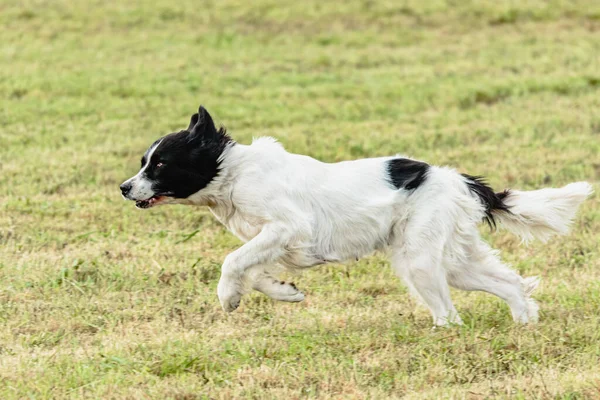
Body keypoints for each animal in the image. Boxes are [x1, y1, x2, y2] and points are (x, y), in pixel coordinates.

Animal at [119, 105, 592, 324]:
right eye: (144, 161)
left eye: (160, 165)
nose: (124, 188)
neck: (232, 171)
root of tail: (458, 179)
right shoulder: (272, 240)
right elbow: (253, 270)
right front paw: (286, 292)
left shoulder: (287, 226)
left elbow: (232, 263)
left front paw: (227, 298)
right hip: (446, 259)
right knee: (509, 283)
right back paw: (524, 322)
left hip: (421, 262)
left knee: (450, 314)